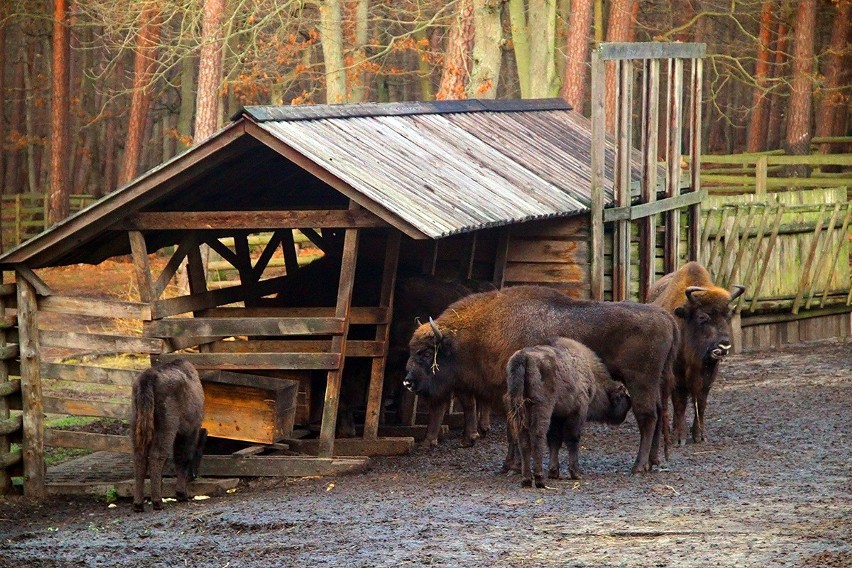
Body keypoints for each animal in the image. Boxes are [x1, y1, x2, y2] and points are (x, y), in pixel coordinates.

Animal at [131, 360, 208, 516]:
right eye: (201, 450)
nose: (195, 475)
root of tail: (149, 376)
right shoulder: (189, 431)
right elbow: (183, 457)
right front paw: (181, 494)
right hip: (166, 427)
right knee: (157, 456)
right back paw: (157, 502)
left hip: (137, 424)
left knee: (140, 457)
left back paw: (138, 504)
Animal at [506, 338, 632, 488]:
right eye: (622, 396)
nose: (623, 416)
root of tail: (524, 357)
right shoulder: (577, 412)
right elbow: (572, 439)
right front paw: (575, 473)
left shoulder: (557, 416)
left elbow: (554, 441)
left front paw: (554, 472)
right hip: (542, 408)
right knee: (537, 437)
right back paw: (540, 479)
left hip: (520, 409)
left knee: (523, 439)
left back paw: (526, 480)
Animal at [648, 260, 744, 444]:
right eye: (702, 317)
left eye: (728, 316)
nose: (724, 346)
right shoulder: (677, 375)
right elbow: (680, 403)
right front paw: (680, 437)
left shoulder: (708, 377)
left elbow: (701, 401)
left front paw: (700, 435)